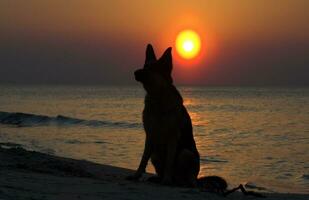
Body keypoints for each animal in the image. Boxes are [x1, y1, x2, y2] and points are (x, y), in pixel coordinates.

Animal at [127, 44, 200, 188]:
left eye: (152, 68)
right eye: (145, 65)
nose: (135, 72)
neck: (158, 98)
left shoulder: (172, 137)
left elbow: (169, 162)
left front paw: (167, 179)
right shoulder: (150, 135)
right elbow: (143, 159)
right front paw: (137, 175)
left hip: (186, 154)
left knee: (186, 178)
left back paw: (178, 182)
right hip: (155, 155)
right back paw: (158, 179)